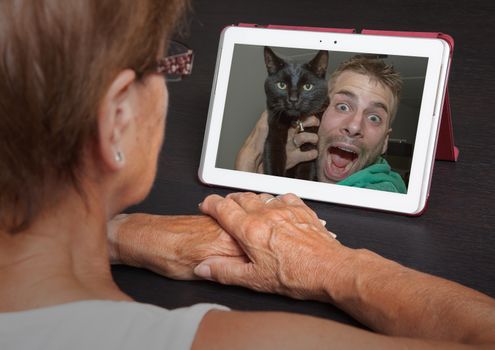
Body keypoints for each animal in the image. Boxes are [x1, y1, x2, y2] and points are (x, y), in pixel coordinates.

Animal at [264, 46, 330, 180]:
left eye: (308, 86)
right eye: (282, 85)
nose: (293, 99)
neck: (295, 120)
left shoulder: (310, 143)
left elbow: (306, 171)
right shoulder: (273, 132)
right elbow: (272, 158)